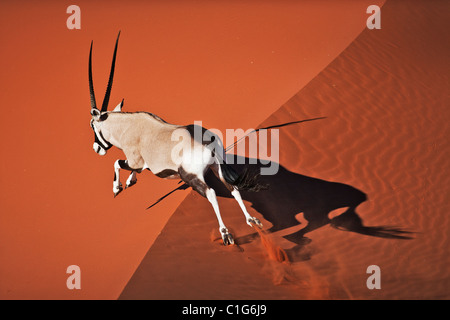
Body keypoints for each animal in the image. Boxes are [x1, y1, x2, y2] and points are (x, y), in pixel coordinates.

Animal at [88, 33, 264, 245]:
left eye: (92, 125)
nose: (96, 148)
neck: (127, 126)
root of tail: (207, 140)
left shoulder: (134, 160)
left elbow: (117, 163)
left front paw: (117, 187)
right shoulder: (140, 164)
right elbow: (133, 169)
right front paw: (130, 181)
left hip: (191, 176)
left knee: (212, 193)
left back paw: (225, 233)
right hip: (217, 168)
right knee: (233, 188)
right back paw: (251, 220)